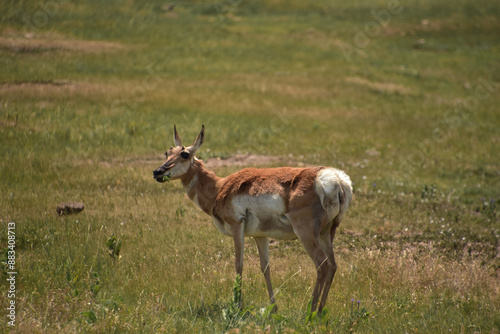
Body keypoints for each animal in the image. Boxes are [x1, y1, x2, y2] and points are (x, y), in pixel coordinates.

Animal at [152, 126, 352, 314]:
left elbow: (238, 264)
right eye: (167, 152)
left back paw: (310, 312)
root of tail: (335, 178)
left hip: (306, 233)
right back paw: (320, 311)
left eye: (185, 154)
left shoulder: (236, 226)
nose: (157, 172)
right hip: (327, 232)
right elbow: (265, 267)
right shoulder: (260, 235)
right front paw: (274, 308)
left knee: (322, 265)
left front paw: (237, 305)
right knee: (332, 265)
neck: (220, 187)